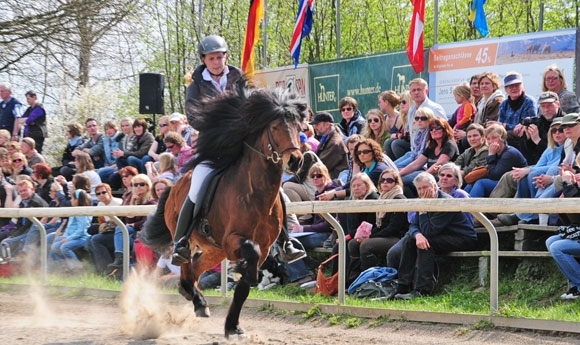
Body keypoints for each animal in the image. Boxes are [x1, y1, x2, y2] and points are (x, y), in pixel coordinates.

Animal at [142, 87, 308, 338]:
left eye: (299, 127)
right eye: (274, 127)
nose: (295, 161)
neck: (256, 192)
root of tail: (174, 185)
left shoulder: (264, 247)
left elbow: (244, 287)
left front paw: (233, 326)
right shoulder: (234, 241)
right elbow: (250, 257)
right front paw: (242, 274)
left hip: (214, 250)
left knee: (194, 268)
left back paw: (194, 297)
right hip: (198, 240)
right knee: (186, 262)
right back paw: (197, 299)